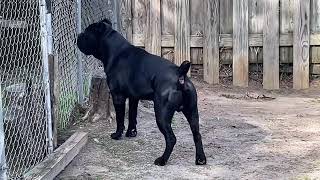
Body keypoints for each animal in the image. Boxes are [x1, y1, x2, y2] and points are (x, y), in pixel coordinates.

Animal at [78, 18, 208, 166]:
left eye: (86, 33)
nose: (78, 36)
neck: (115, 51)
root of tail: (180, 74)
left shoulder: (118, 97)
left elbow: (120, 119)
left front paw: (117, 135)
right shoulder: (133, 98)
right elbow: (132, 116)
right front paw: (131, 133)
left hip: (162, 115)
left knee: (171, 138)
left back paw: (162, 160)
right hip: (192, 112)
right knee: (197, 134)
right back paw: (200, 159)